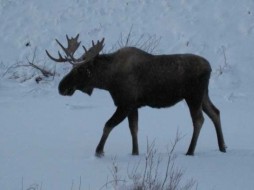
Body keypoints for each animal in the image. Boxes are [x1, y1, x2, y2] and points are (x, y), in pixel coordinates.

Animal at [45, 34, 226, 156]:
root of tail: (210, 67)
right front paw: (135, 152)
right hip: (203, 95)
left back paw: (190, 151)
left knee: (199, 120)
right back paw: (222, 147)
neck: (108, 81)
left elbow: (108, 125)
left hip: (193, 96)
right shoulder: (133, 106)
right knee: (215, 112)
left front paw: (99, 151)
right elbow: (133, 129)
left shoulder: (125, 104)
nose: (61, 87)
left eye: (80, 69)